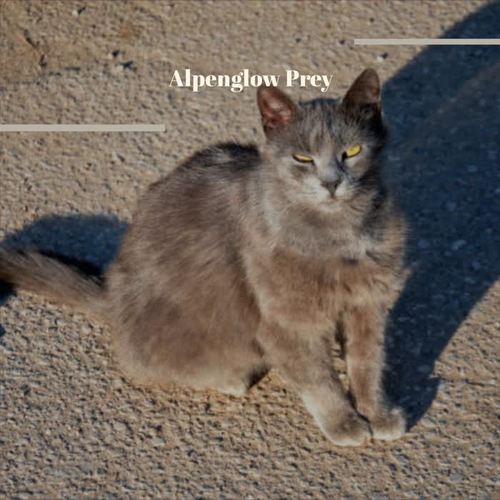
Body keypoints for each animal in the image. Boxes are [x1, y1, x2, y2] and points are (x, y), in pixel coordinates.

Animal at [0, 68, 406, 448]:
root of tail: (112, 296)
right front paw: (344, 423)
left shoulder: (369, 305)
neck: (339, 236)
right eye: (302, 157)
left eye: (352, 151)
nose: (331, 182)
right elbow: (318, 377)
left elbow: (368, 362)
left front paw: (377, 413)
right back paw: (232, 378)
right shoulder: (287, 321)